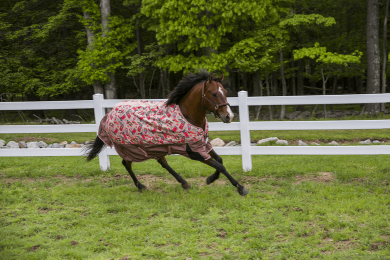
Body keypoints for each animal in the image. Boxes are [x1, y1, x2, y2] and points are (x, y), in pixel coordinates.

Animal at [84, 70, 250, 196]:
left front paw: (211, 179)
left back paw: (184, 183)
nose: (229, 116)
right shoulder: (192, 151)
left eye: (225, 92)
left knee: (162, 162)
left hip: (154, 147)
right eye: (214, 93)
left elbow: (220, 161)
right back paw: (141, 186)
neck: (188, 116)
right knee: (127, 164)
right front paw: (240, 188)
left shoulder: (203, 144)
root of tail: (109, 113)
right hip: (130, 148)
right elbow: (219, 165)